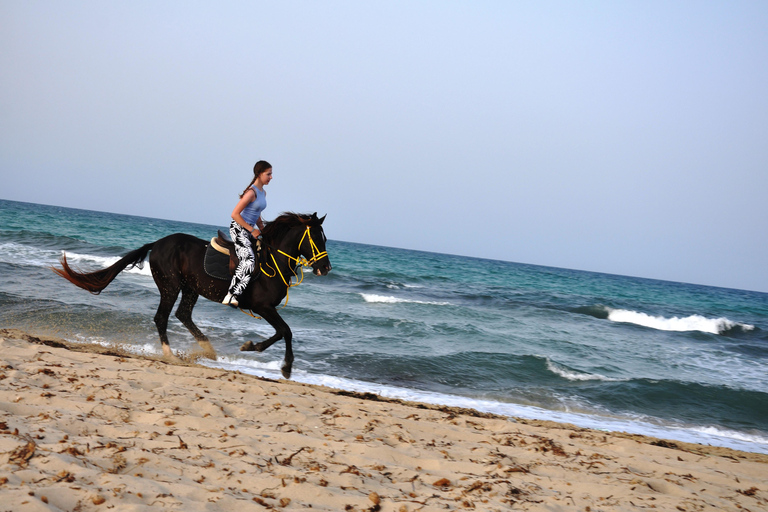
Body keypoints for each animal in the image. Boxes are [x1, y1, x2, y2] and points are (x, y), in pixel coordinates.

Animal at [50, 210, 332, 378]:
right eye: (317, 239)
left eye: (325, 238)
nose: (326, 268)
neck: (273, 261)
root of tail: (157, 243)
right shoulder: (263, 307)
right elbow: (285, 331)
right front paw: (281, 364)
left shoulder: (265, 309)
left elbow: (283, 332)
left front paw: (261, 351)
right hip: (170, 286)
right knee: (162, 317)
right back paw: (169, 354)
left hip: (190, 288)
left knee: (182, 314)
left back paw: (207, 350)